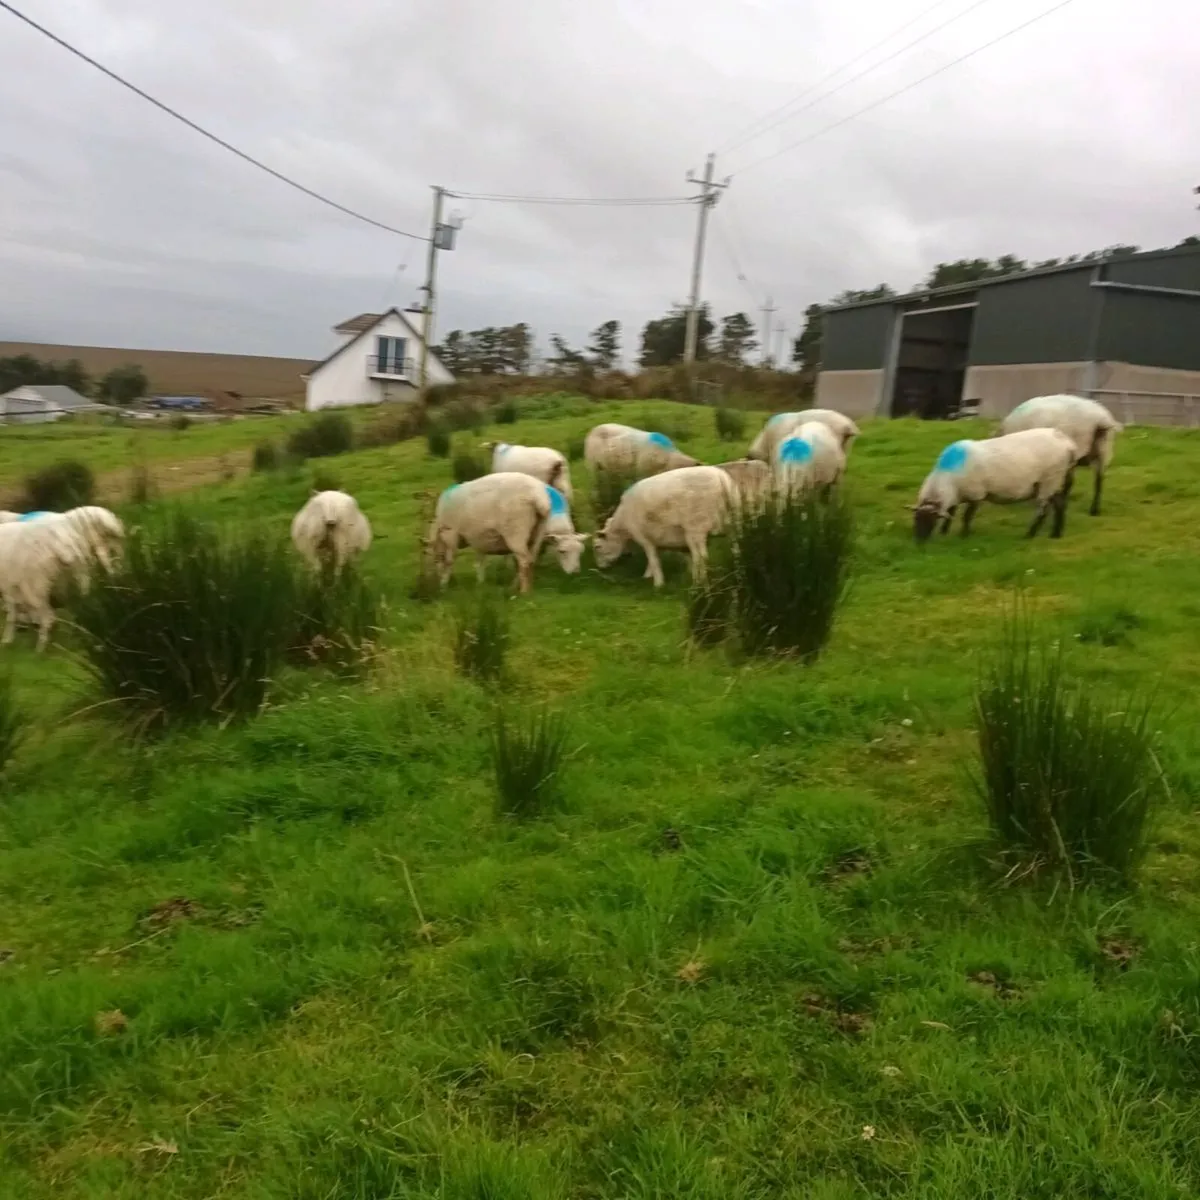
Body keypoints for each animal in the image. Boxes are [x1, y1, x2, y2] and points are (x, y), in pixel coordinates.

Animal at [0, 518, 92, 651]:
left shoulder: (10, 586)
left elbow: (11, 615)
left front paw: (6, 641)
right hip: (59, 585)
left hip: (36, 585)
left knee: (47, 617)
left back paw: (39, 649)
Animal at [428, 473, 587, 593]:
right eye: (562, 551)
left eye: (580, 552)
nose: (576, 572)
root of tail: (538, 498)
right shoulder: (470, 537)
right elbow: (478, 560)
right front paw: (480, 583)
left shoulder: (452, 534)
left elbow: (450, 561)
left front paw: (443, 585)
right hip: (534, 533)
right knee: (529, 560)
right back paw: (526, 587)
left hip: (515, 532)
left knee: (524, 560)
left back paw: (524, 591)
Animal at [592, 465, 735, 588]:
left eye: (598, 547)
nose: (600, 568)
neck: (622, 526)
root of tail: (721, 477)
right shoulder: (662, 537)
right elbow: (664, 557)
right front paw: (648, 576)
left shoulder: (643, 537)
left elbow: (653, 559)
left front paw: (658, 583)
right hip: (733, 524)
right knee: (733, 549)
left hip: (696, 528)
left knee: (701, 556)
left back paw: (698, 582)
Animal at [911, 428, 1078, 542]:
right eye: (916, 519)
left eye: (931, 521)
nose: (919, 542)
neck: (948, 475)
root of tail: (1068, 444)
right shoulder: (956, 495)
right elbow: (950, 513)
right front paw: (944, 532)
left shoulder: (976, 494)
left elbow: (967, 516)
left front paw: (964, 535)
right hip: (1055, 482)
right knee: (1060, 504)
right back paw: (1055, 534)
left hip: (1050, 480)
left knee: (1042, 511)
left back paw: (1030, 535)